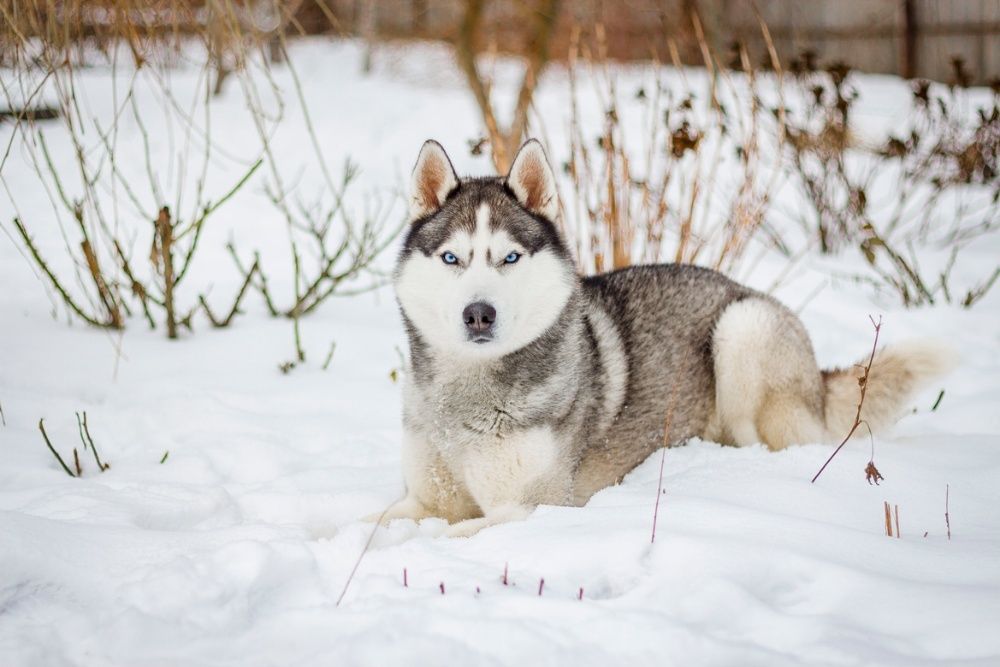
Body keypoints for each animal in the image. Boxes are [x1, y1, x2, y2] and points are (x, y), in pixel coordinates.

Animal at [382, 140, 952, 536]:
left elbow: (432, 537)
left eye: (509, 257)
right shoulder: (425, 499)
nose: (479, 314)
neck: (467, 397)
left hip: (742, 331)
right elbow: (381, 521)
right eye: (452, 258)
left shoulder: (533, 506)